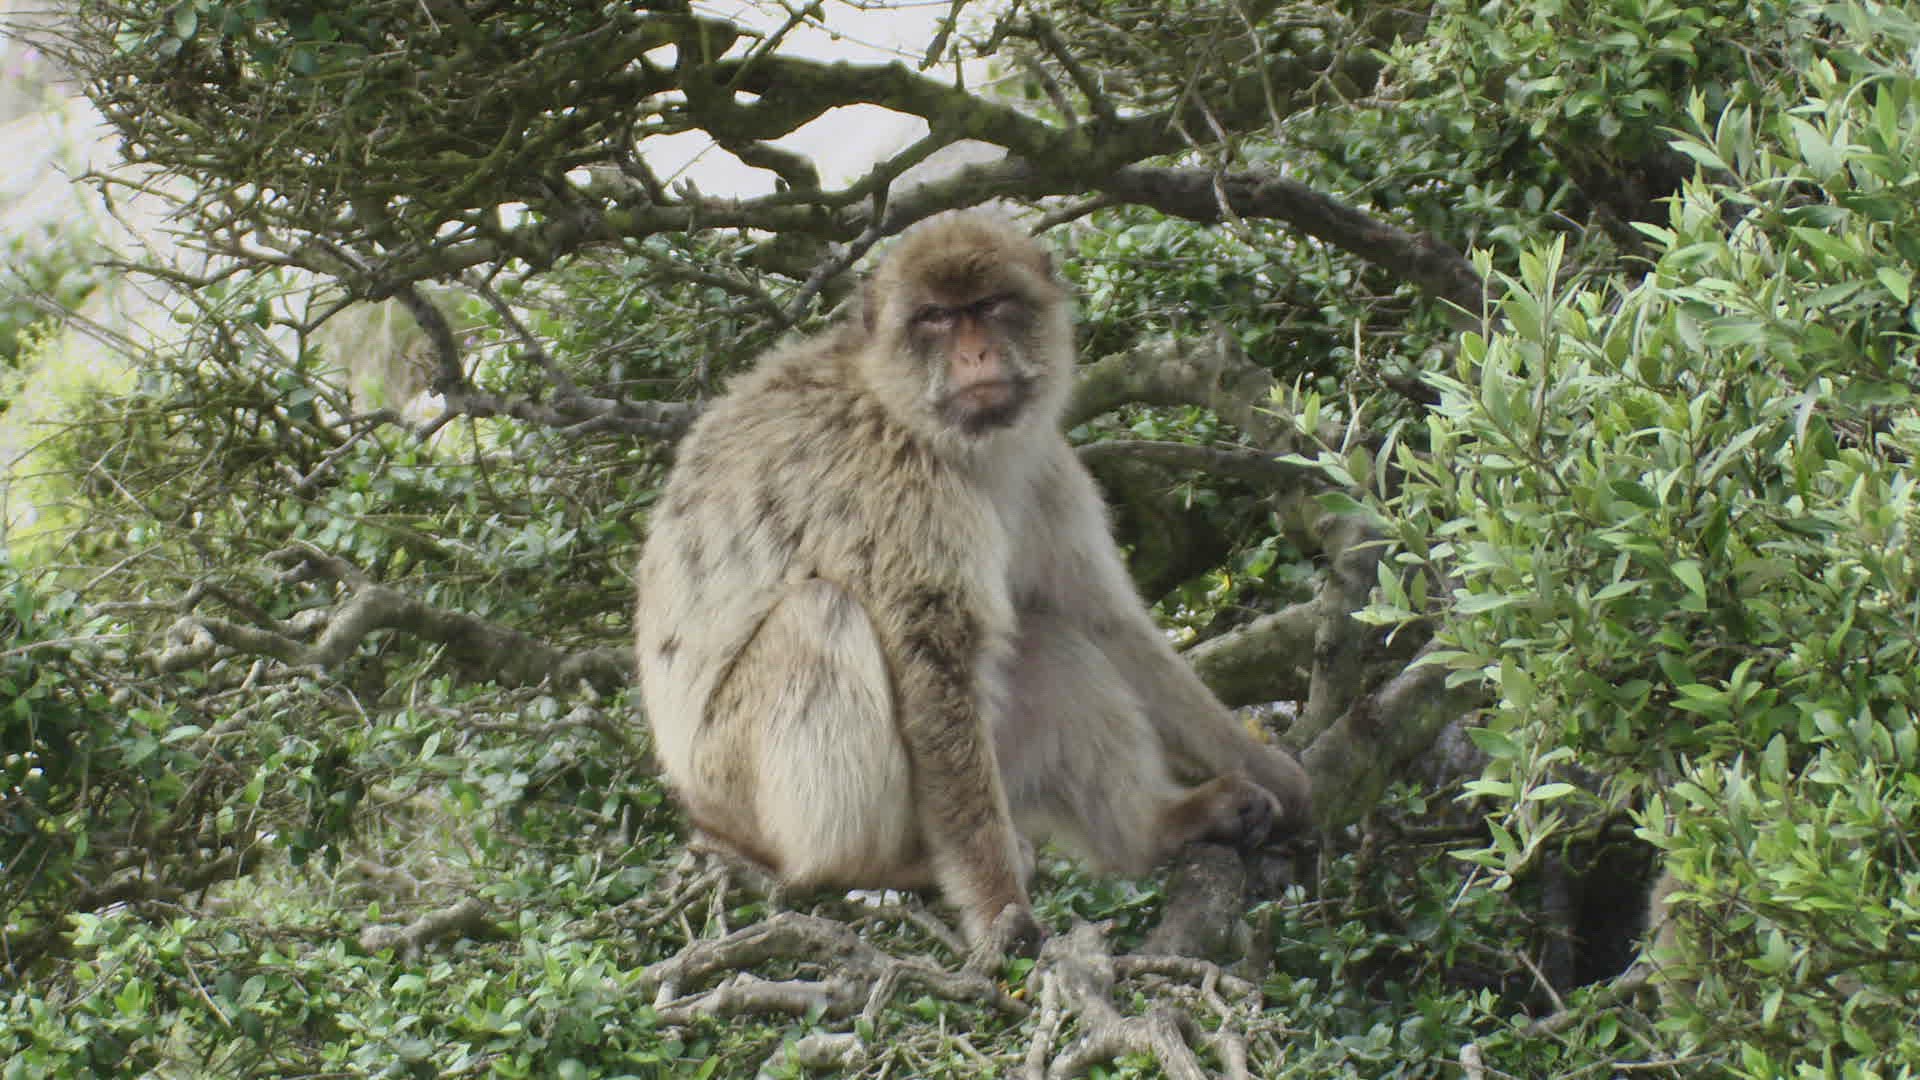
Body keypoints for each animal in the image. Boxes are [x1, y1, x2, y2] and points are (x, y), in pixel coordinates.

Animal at [633, 211, 1312, 946]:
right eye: (934, 317)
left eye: (989, 307)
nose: (976, 356)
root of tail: (703, 814)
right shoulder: (897, 487)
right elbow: (933, 664)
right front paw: (998, 908)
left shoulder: (1046, 470)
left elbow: (1106, 622)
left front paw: (1269, 769)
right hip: (737, 785)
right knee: (819, 613)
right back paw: (868, 866)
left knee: (1049, 639)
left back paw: (1154, 830)